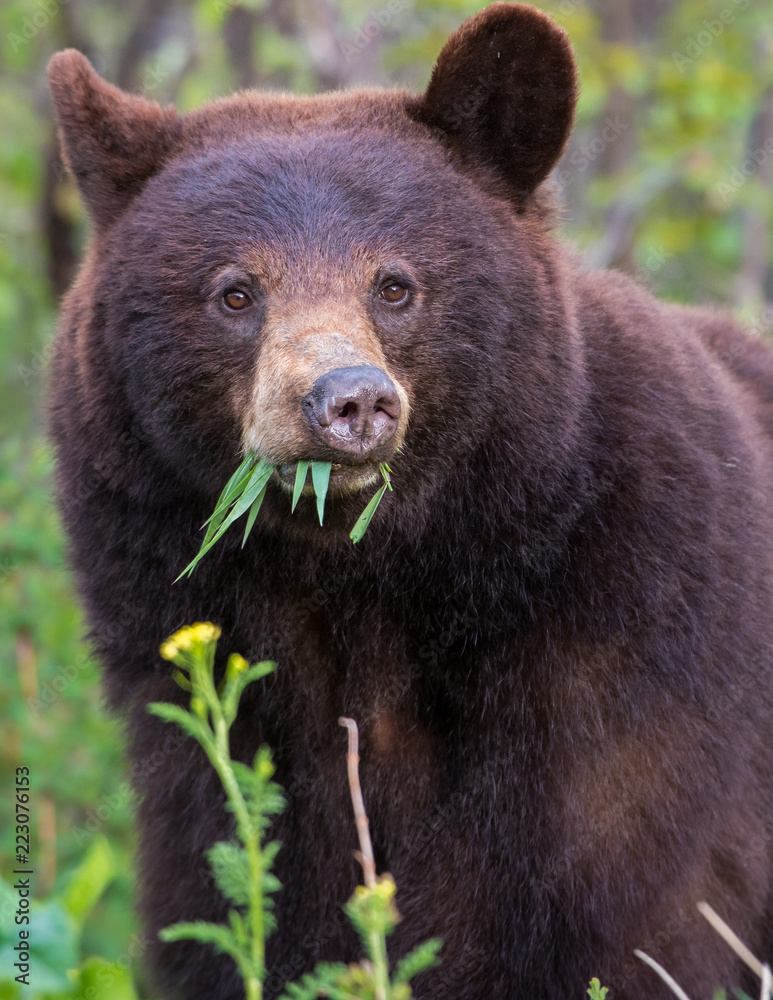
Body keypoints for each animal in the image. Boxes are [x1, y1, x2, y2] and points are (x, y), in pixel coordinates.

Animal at [46, 3, 773, 999]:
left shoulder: (631, 675)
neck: (377, 579)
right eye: (235, 292)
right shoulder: (209, 736)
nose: (347, 400)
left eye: (394, 285)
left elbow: (622, 923)